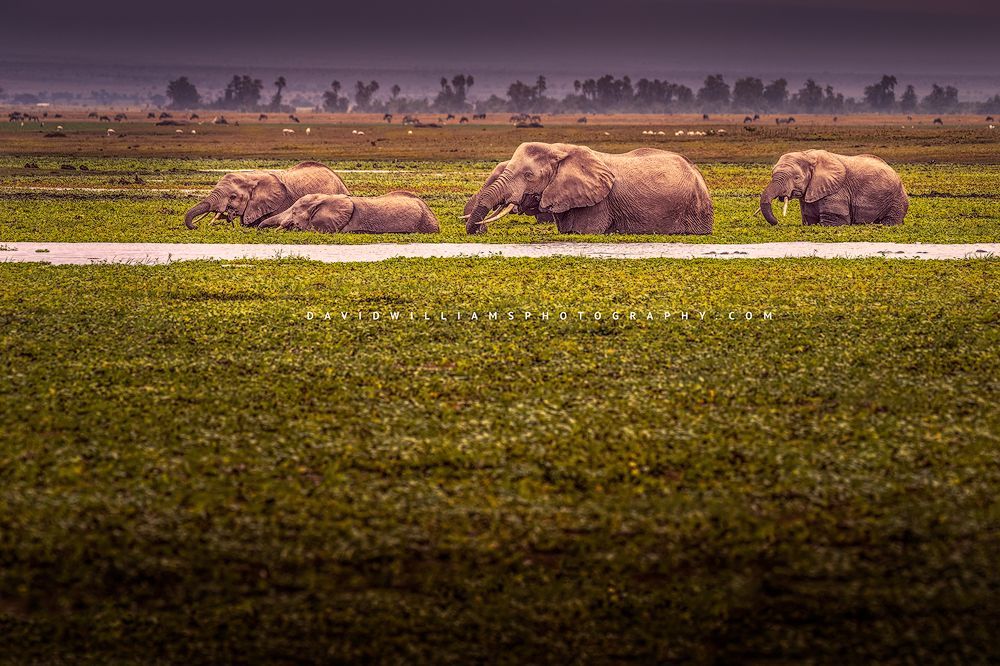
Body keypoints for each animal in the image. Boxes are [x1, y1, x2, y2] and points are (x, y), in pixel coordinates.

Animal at [760, 150, 908, 226]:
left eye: (796, 178)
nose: (778, 222)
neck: (808, 155)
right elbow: (809, 219)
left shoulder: (837, 191)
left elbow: (834, 221)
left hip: (896, 199)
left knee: (890, 220)